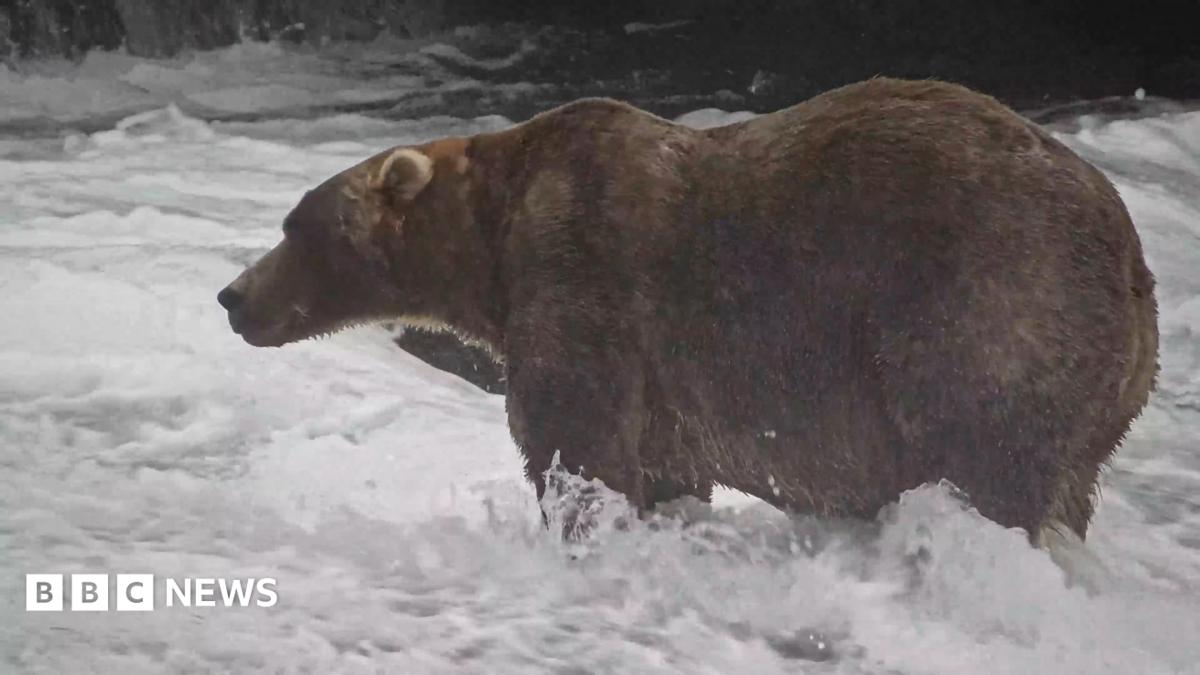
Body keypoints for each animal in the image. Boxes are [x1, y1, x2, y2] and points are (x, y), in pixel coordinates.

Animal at [217, 78, 1158, 541]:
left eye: (295, 226)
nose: (232, 296)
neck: (491, 241)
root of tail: (1132, 256)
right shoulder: (664, 382)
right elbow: (664, 463)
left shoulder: (583, 274)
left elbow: (573, 437)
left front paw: (579, 523)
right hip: (1104, 390)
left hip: (985, 301)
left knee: (984, 451)